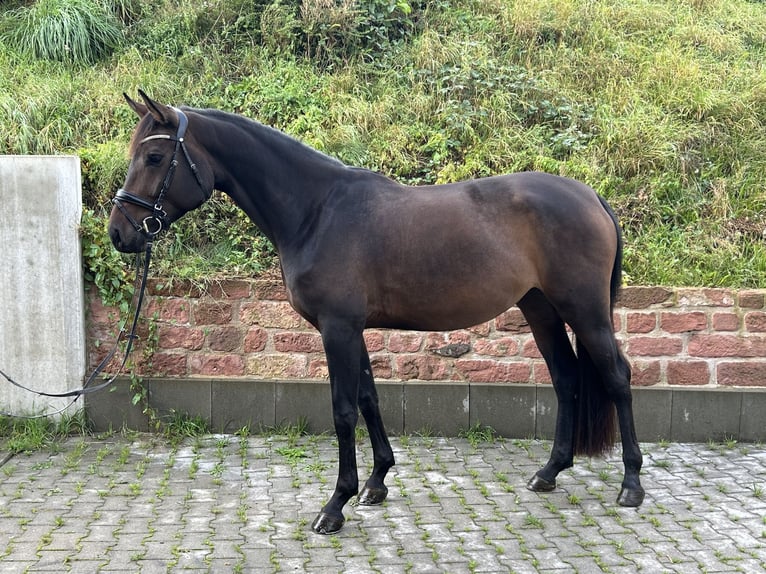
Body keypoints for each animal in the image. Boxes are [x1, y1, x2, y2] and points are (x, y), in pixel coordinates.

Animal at [109, 90, 648, 536]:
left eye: (154, 157)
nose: (119, 232)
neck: (317, 210)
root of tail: (591, 196)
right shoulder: (353, 330)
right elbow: (369, 397)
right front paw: (377, 482)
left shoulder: (338, 328)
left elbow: (343, 409)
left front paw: (335, 505)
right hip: (540, 310)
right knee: (565, 378)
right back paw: (549, 472)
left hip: (586, 311)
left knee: (617, 377)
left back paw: (632, 485)